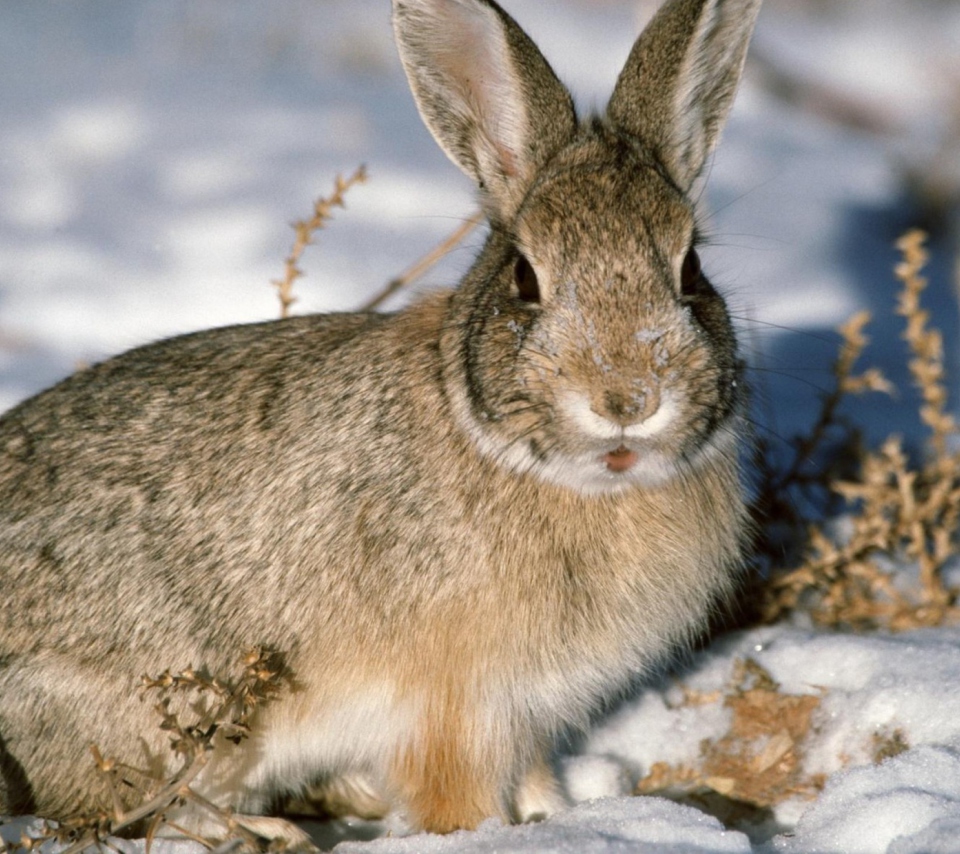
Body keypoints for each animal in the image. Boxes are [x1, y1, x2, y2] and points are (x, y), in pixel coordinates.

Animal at [0, 0, 764, 844]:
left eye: (691, 270)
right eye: (525, 279)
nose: (627, 398)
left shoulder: (524, 714)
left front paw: (553, 814)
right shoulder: (454, 708)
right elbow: (454, 797)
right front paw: (482, 834)